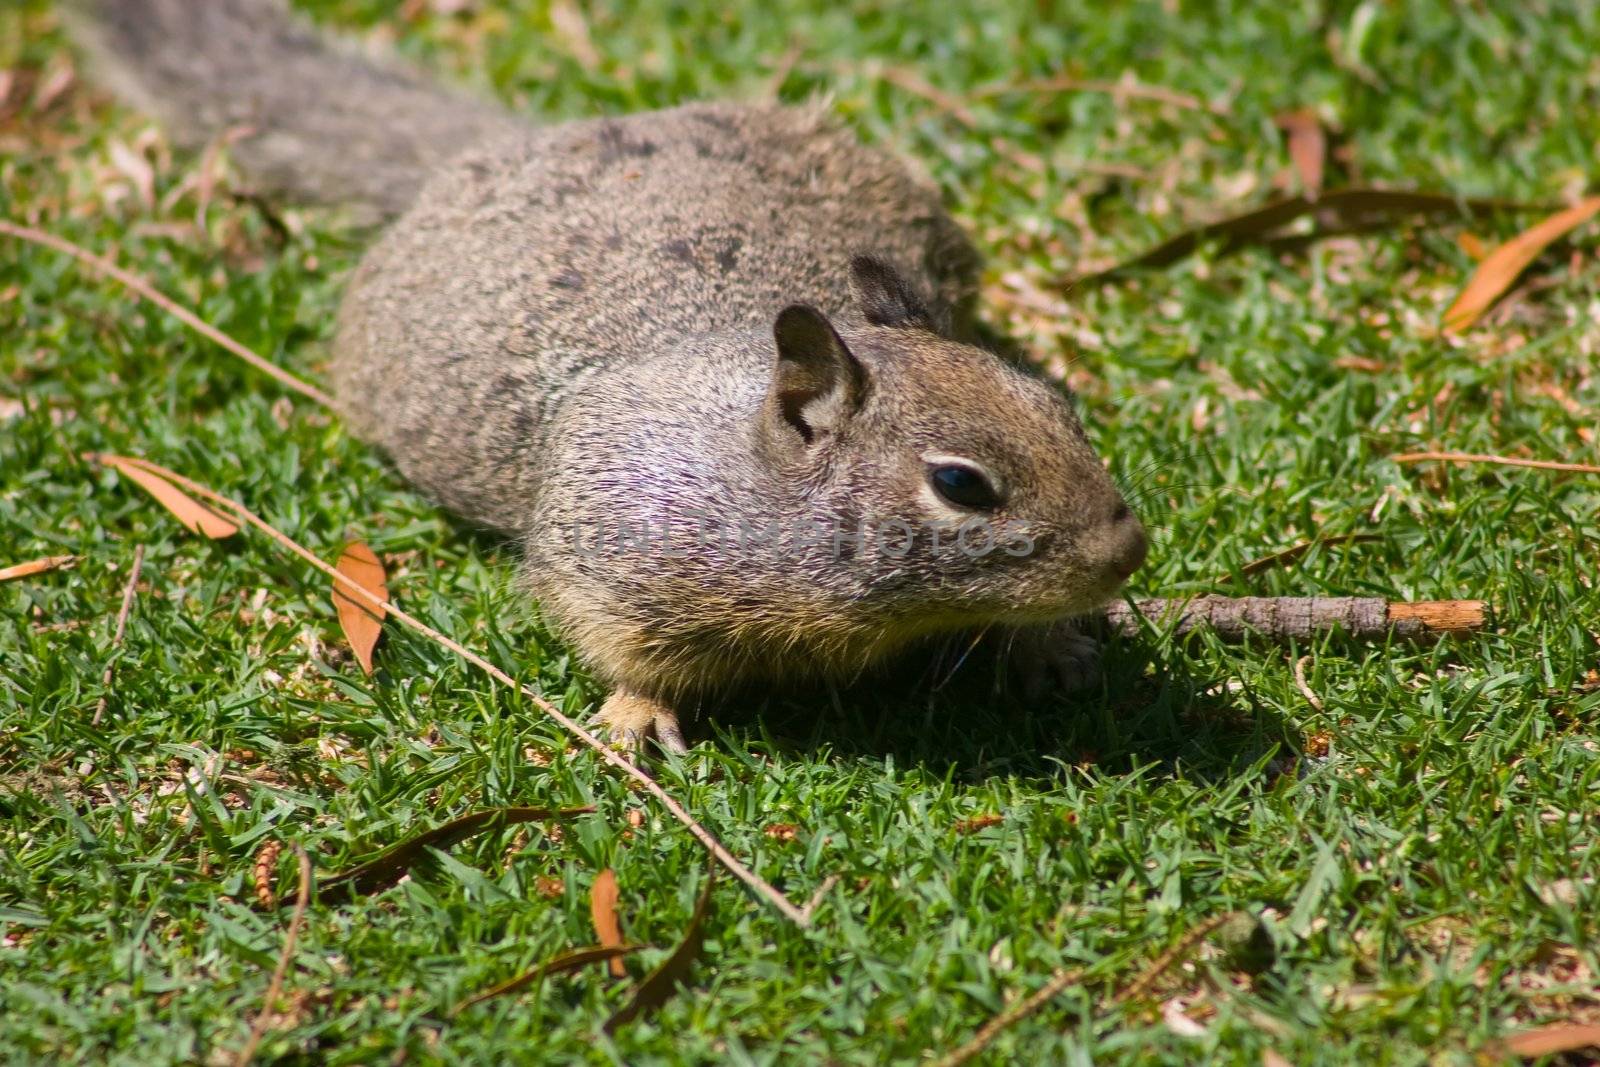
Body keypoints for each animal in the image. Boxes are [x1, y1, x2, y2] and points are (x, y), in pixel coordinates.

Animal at [68, 0, 1152, 751]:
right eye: (961, 484)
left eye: (1056, 405)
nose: (1128, 551)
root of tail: (509, 148)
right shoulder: (613, 557)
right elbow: (616, 645)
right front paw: (636, 715)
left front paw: (1049, 646)